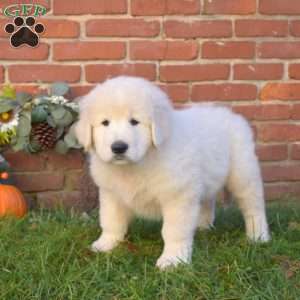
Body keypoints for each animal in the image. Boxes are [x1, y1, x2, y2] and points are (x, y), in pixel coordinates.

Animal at [75, 76, 270, 268]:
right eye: (105, 123)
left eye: (134, 122)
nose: (118, 147)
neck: (139, 162)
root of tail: (230, 114)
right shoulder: (112, 194)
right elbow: (111, 221)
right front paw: (105, 244)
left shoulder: (178, 196)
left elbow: (174, 231)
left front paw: (173, 259)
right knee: (207, 201)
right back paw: (202, 226)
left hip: (243, 173)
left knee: (253, 206)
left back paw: (258, 236)